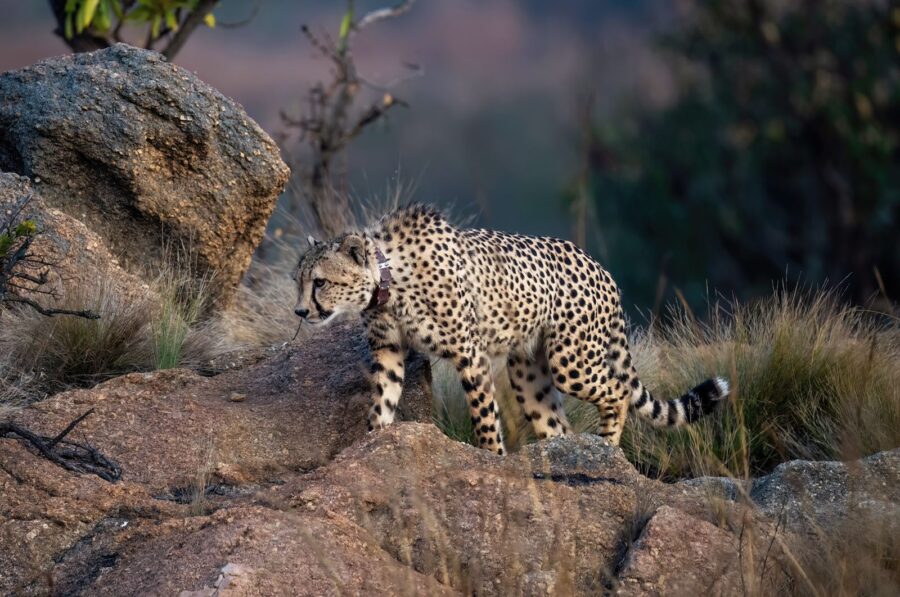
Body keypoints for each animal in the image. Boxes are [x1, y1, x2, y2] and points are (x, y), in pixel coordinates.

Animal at [296, 205, 732, 452]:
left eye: (320, 282)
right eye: (297, 280)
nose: (301, 311)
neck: (387, 279)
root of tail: (601, 268)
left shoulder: (469, 354)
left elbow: (484, 417)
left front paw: (491, 459)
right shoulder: (388, 351)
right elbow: (382, 401)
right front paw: (372, 441)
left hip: (571, 362)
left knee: (619, 391)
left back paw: (607, 449)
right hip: (528, 371)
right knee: (556, 424)